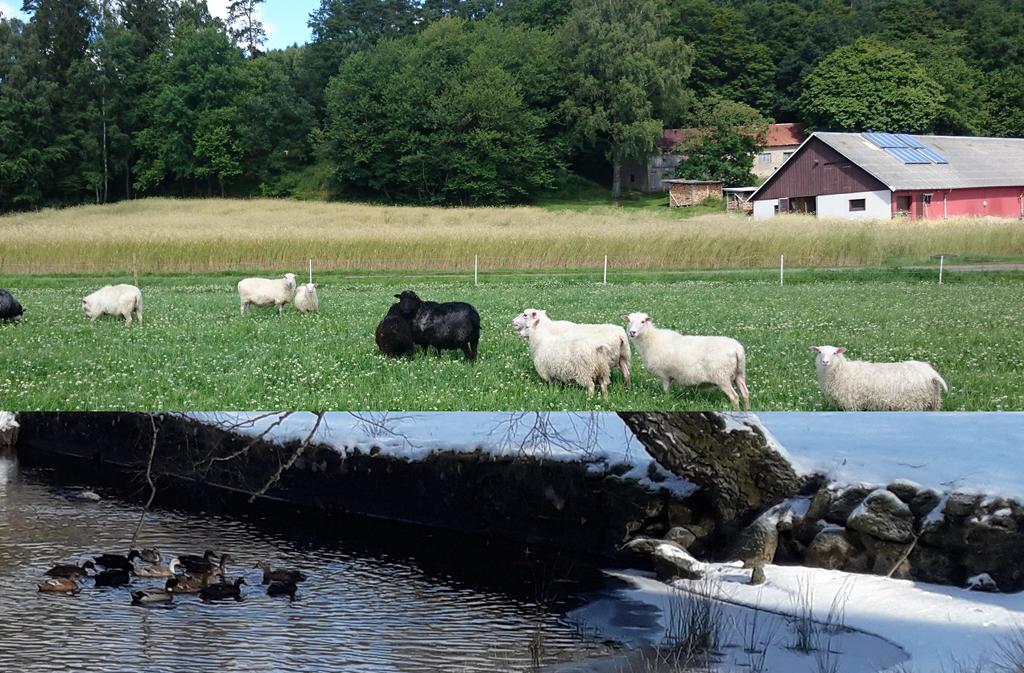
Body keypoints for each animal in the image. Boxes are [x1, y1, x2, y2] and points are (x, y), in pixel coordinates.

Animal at [618, 311, 749, 409]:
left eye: (643, 321)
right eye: (629, 321)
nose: (632, 332)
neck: (651, 339)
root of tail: (737, 349)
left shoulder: (664, 374)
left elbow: (666, 391)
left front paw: (665, 402)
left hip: (721, 376)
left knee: (734, 397)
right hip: (739, 373)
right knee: (745, 393)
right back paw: (747, 408)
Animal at [811, 344, 946, 411]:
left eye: (834, 353)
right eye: (820, 352)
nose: (825, 362)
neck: (842, 371)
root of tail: (930, 372)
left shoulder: (851, 403)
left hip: (915, 403)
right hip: (931, 403)